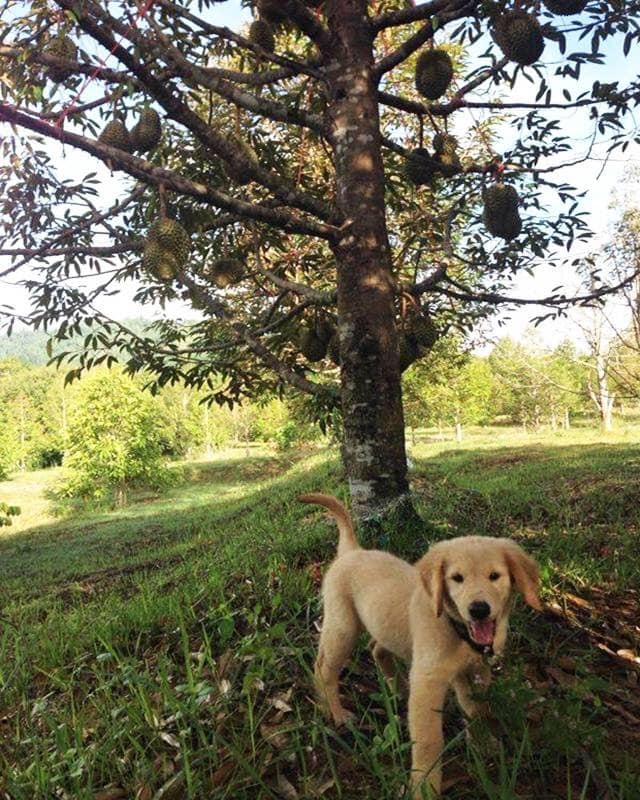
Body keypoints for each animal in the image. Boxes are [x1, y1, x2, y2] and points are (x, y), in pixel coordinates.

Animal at [299, 492, 541, 798]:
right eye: (457, 578)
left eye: (494, 576)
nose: (478, 610)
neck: (455, 629)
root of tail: (353, 551)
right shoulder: (429, 680)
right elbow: (429, 742)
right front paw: (425, 786)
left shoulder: (474, 671)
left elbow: (477, 710)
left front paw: (484, 743)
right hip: (343, 628)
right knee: (324, 669)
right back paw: (335, 713)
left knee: (376, 650)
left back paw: (400, 690)